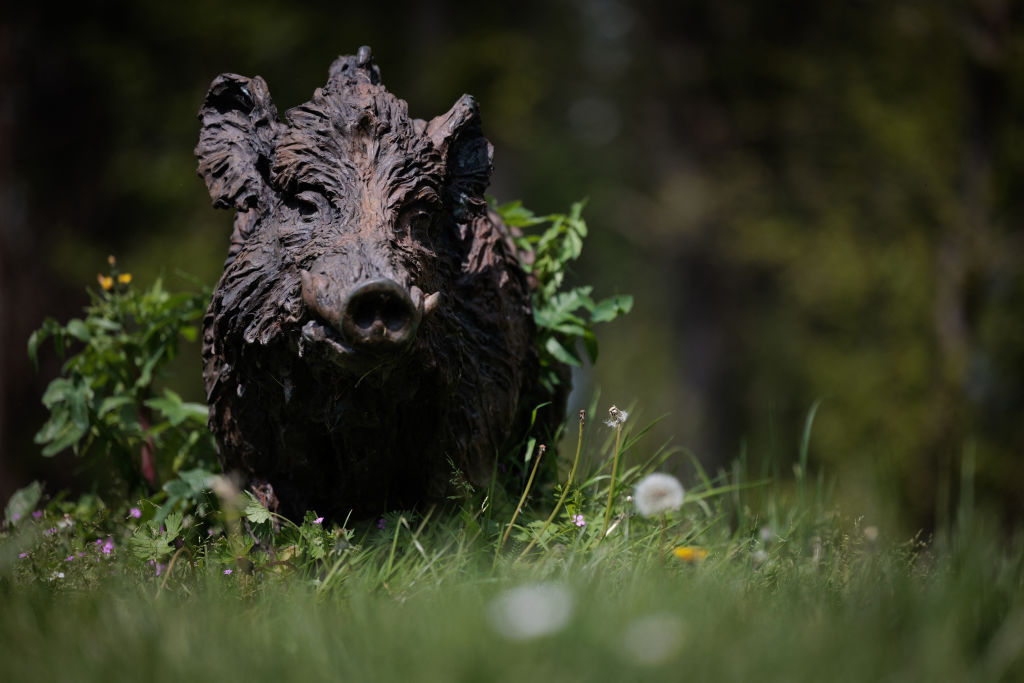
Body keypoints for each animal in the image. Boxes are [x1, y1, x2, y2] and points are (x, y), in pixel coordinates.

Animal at [195, 47, 565, 521]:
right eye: (306, 205)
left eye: (418, 217)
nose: (377, 290)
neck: (353, 398)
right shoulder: (236, 423)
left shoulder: (480, 404)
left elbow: (460, 493)